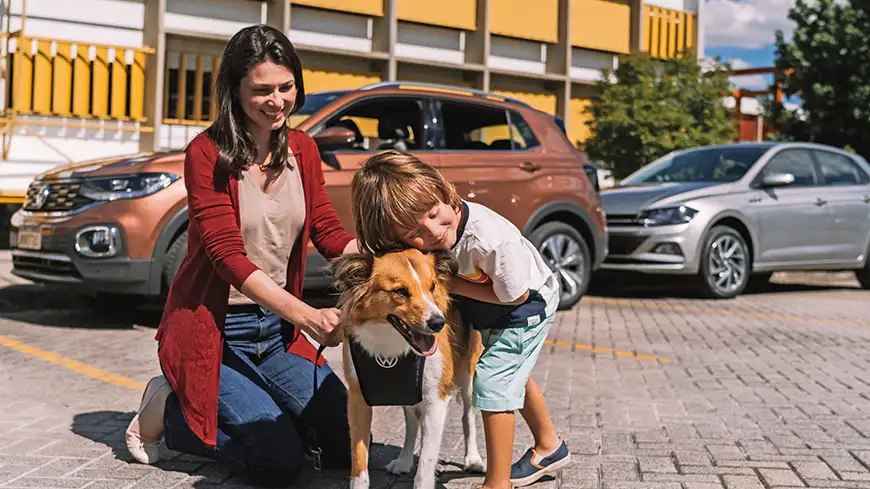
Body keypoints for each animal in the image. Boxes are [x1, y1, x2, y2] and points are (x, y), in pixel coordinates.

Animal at [330, 248, 488, 488]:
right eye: (401, 291)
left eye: (432, 287)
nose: (438, 323)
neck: (390, 345)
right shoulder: (358, 399)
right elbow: (359, 461)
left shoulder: (436, 400)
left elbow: (425, 463)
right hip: (406, 390)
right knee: (413, 423)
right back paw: (404, 461)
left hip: (467, 375)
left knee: (467, 414)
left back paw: (473, 458)